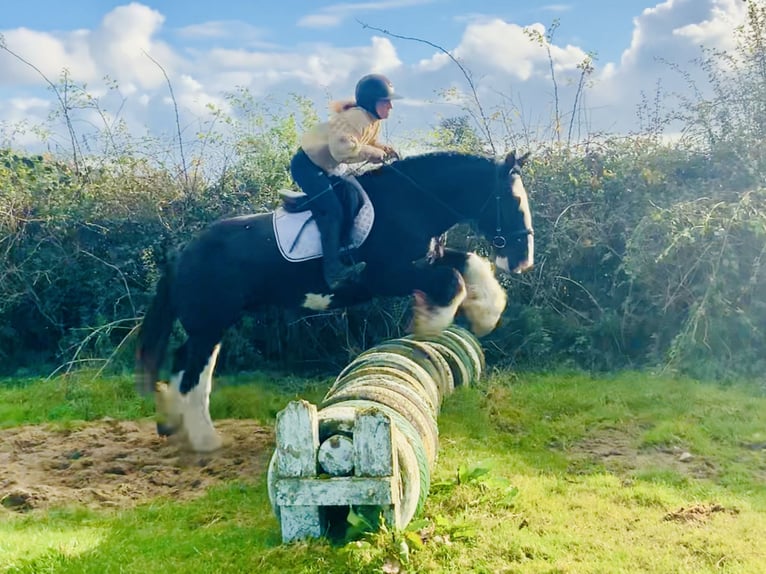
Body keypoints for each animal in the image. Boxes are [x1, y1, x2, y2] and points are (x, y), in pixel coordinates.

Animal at [136, 150, 536, 454]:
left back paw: (174, 425)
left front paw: (485, 314)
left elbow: (470, 264)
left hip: (212, 325)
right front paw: (427, 325)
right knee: (192, 374)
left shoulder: (427, 261)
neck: (410, 205)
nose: (522, 260)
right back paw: (205, 440)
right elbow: (453, 281)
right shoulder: (389, 277)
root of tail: (183, 252)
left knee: (184, 363)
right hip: (211, 324)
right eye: (512, 200)